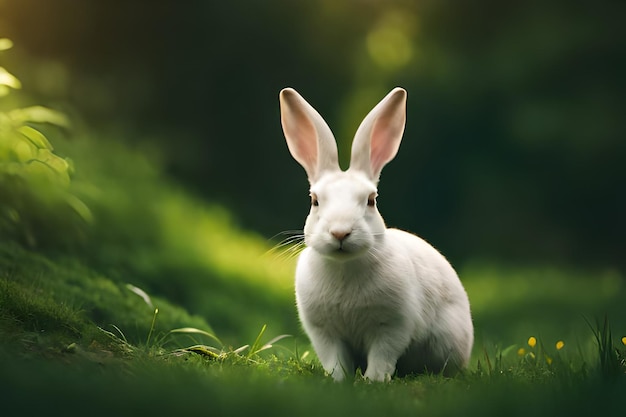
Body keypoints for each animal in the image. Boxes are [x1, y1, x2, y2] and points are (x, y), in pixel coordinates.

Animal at [276, 87, 470, 380]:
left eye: (371, 200)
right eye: (314, 200)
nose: (340, 232)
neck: (344, 268)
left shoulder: (391, 327)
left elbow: (382, 357)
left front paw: (373, 381)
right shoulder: (324, 333)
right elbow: (335, 360)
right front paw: (338, 381)